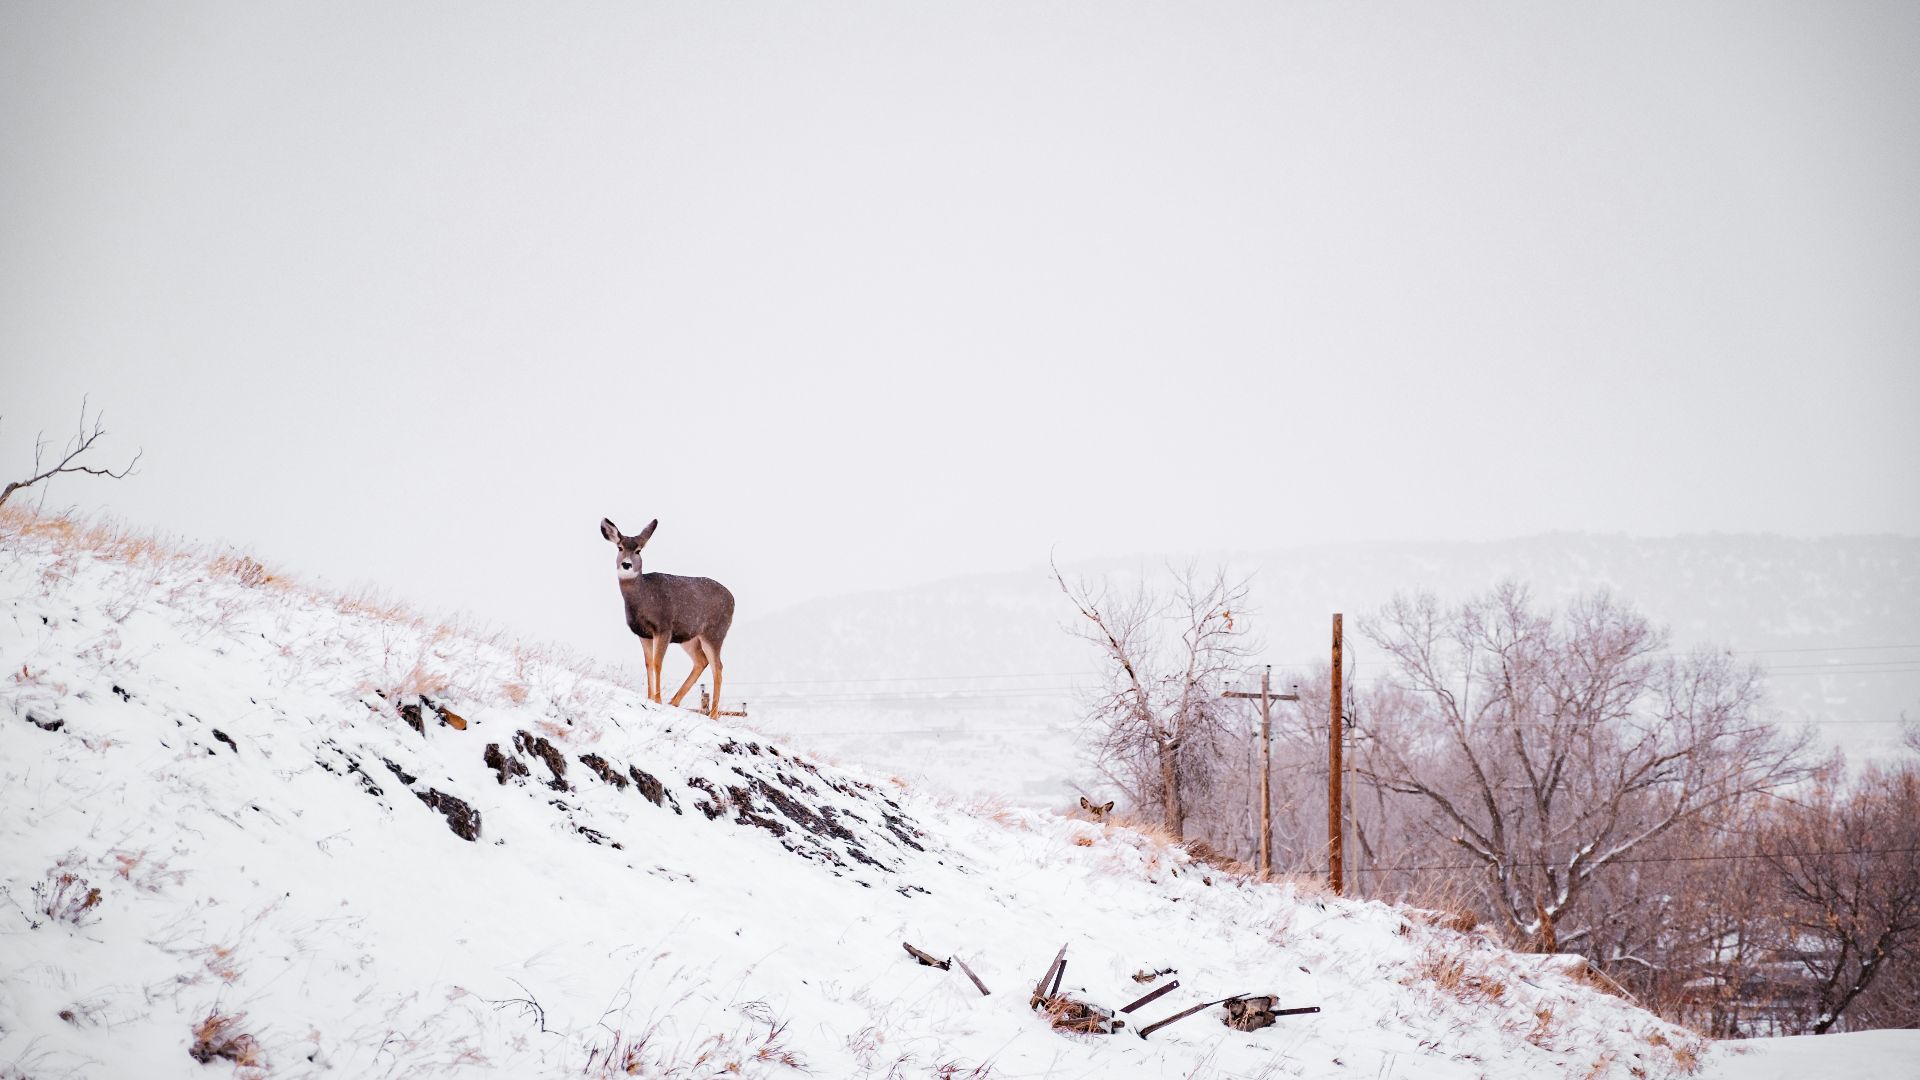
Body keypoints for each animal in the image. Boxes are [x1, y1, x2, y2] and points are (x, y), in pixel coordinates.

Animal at [599, 517, 735, 719]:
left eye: (638, 550)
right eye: (620, 547)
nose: (626, 565)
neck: (643, 597)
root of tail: (733, 599)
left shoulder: (663, 628)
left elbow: (657, 663)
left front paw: (657, 700)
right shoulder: (643, 633)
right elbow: (648, 663)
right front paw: (650, 697)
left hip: (714, 632)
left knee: (717, 667)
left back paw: (712, 715)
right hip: (690, 638)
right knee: (701, 661)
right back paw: (675, 701)